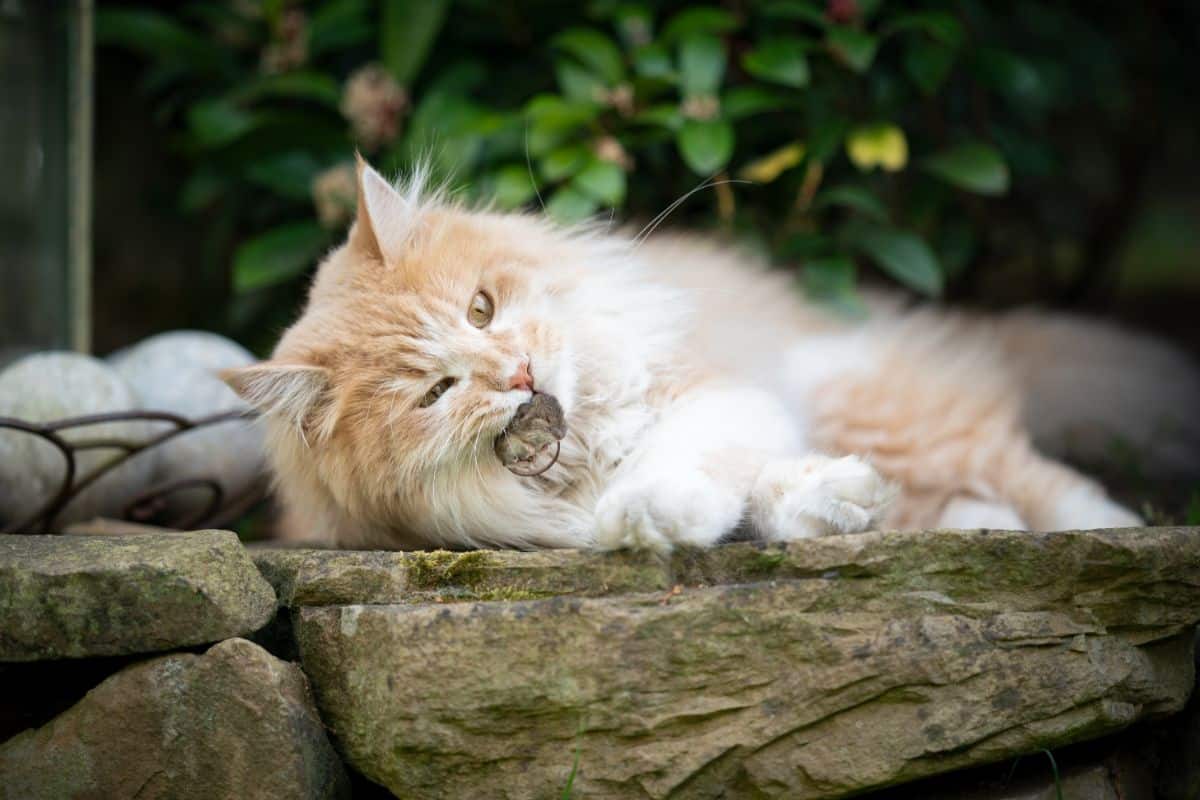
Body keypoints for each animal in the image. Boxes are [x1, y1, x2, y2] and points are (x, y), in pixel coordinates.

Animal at [220, 158, 1195, 554]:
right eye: (436, 392)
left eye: (482, 308)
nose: (521, 376)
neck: (583, 449)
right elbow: (754, 497)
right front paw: (830, 506)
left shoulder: (714, 396)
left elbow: (703, 463)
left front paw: (663, 509)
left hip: (864, 391)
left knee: (1041, 477)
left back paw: (1108, 530)